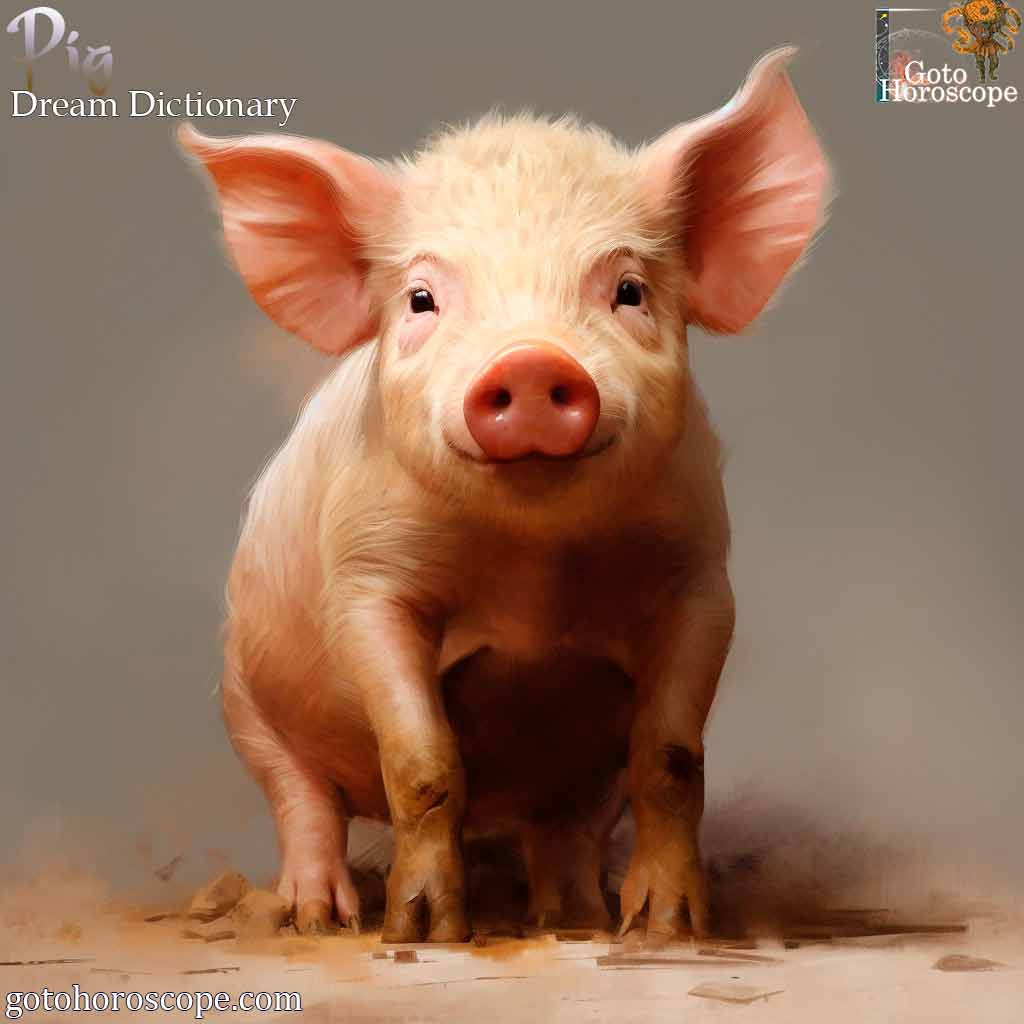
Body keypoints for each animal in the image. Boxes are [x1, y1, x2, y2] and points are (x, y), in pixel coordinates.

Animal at [179, 48, 828, 944]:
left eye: (628, 290)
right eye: (421, 299)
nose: (529, 362)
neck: (532, 569)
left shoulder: (701, 578)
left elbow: (671, 759)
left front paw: (667, 929)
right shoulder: (367, 582)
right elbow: (422, 765)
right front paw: (422, 934)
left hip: (578, 778)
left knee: (567, 823)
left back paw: (574, 921)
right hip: (246, 704)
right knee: (304, 802)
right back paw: (319, 920)